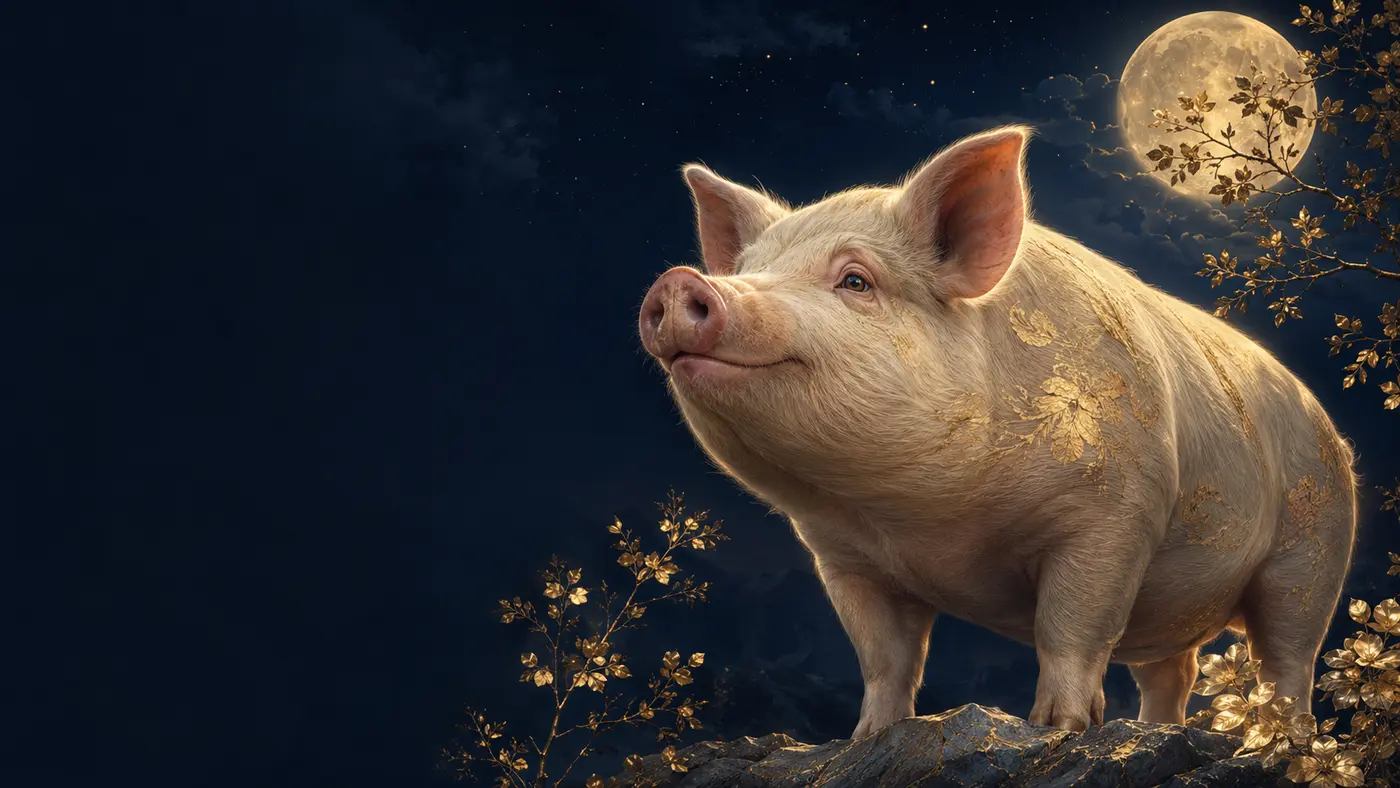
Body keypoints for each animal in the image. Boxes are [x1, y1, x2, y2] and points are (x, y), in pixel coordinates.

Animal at [636, 125, 1360, 736]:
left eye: (855, 280)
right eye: (744, 271)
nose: (678, 281)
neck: (924, 523)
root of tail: (1327, 422)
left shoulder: (1115, 516)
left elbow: (1071, 629)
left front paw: (1057, 729)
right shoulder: (844, 559)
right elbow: (885, 658)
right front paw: (866, 739)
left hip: (1315, 545)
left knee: (1288, 657)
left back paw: (1278, 745)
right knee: (1172, 669)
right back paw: (1156, 733)